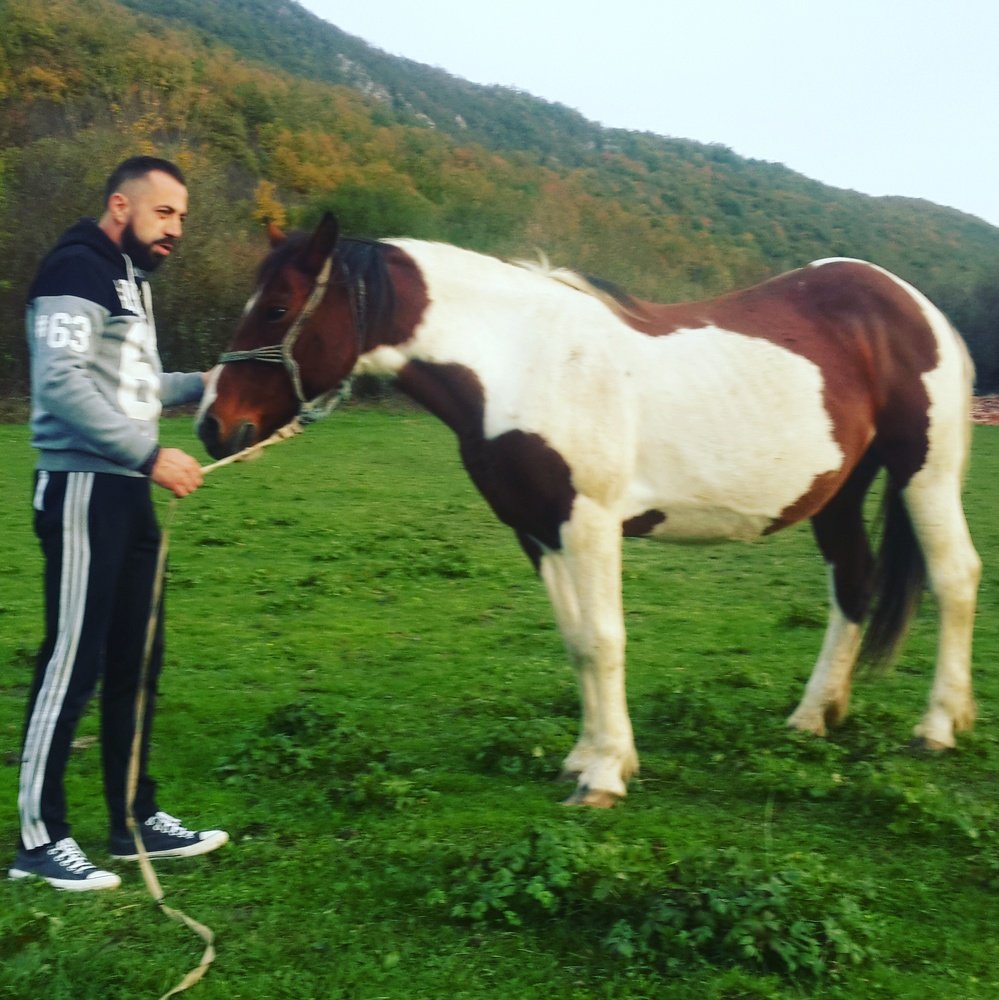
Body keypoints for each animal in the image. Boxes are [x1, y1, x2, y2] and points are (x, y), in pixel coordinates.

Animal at [198, 212, 981, 807]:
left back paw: (938, 727)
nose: (212, 426)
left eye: (276, 307)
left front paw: (604, 776)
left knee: (955, 578)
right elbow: (576, 642)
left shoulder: (589, 523)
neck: (522, 362)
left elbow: (605, 641)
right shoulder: (536, 530)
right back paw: (813, 716)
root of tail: (913, 304)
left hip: (925, 473)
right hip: (840, 491)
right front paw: (586, 757)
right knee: (852, 582)